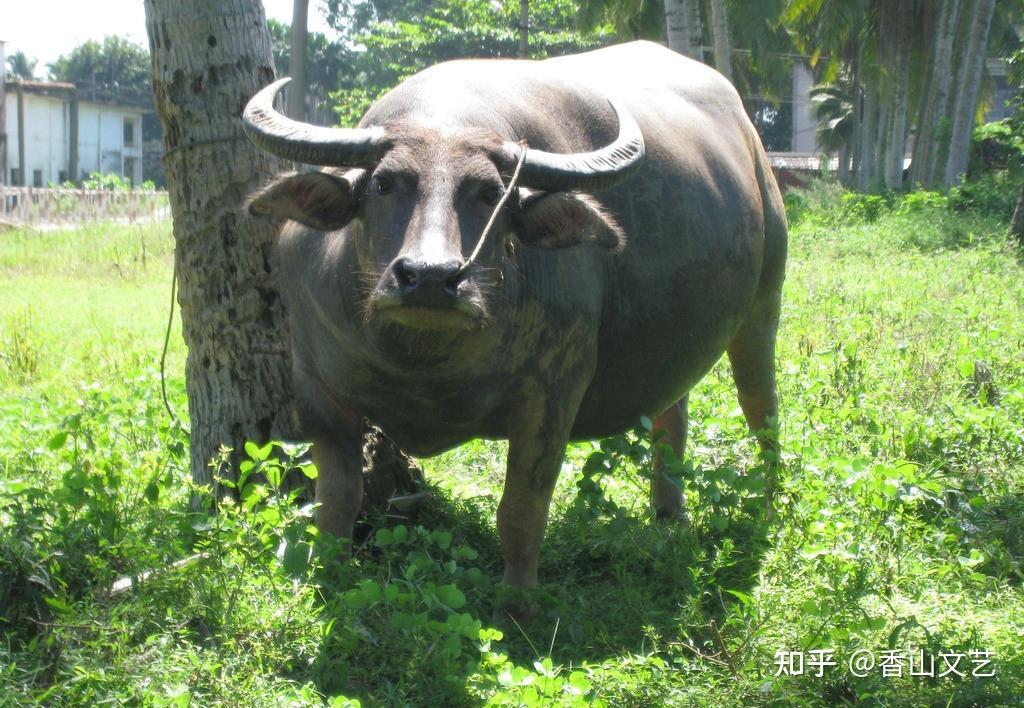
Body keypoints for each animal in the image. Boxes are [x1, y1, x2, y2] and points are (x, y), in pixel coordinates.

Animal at [243, 41, 786, 598]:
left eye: (489, 193)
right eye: (383, 184)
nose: (431, 277)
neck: (421, 361)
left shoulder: (551, 396)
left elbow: (521, 513)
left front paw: (517, 607)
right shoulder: (317, 393)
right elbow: (337, 501)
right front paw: (328, 580)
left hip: (764, 303)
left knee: (761, 408)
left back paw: (769, 509)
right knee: (671, 414)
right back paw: (668, 516)